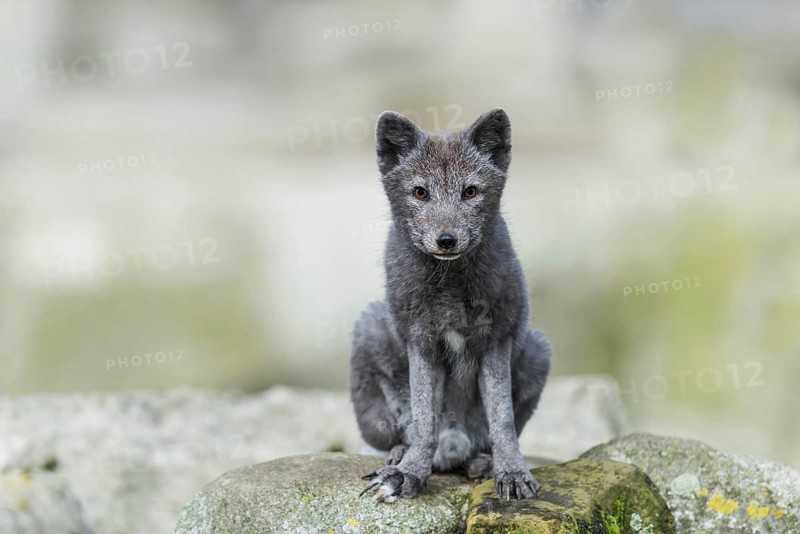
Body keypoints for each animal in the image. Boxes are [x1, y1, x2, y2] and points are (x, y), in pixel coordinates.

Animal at [350, 108, 552, 502]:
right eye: (420, 192)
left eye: (470, 191)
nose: (446, 240)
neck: (450, 286)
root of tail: (453, 448)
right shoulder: (421, 342)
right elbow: (425, 419)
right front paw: (408, 474)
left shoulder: (497, 339)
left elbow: (502, 421)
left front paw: (512, 473)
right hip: (369, 331)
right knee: (404, 433)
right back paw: (400, 456)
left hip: (538, 350)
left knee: (486, 440)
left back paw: (482, 462)